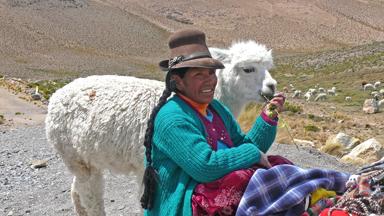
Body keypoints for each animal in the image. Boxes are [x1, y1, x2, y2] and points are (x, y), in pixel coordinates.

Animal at [46, 41, 278, 216]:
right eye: (247, 69)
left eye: (268, 68)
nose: (272, 86)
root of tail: (56, 96)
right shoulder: (146, 165)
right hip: (74, 153)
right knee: (90, 195)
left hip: (85, 157)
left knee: (78, 190)